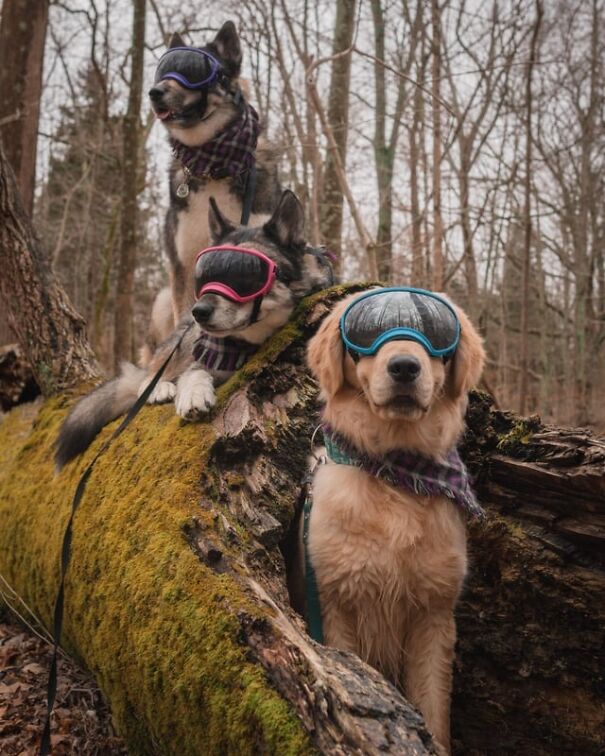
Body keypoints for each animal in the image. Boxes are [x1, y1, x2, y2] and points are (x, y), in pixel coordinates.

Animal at [54, 190, 332, 466]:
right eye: (205, 275)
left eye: (245, 275)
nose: (198, 311)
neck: (247, 344)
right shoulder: (202, 355)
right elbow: (194, 371)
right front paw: (193, 394)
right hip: (178, 339)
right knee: (150, 374)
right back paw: (160, 387)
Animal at [143, 21, 282, 370]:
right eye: (162, 71)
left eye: (194, 71)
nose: (154, 92)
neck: (214, 167)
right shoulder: (182, 265)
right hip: (161, 299)